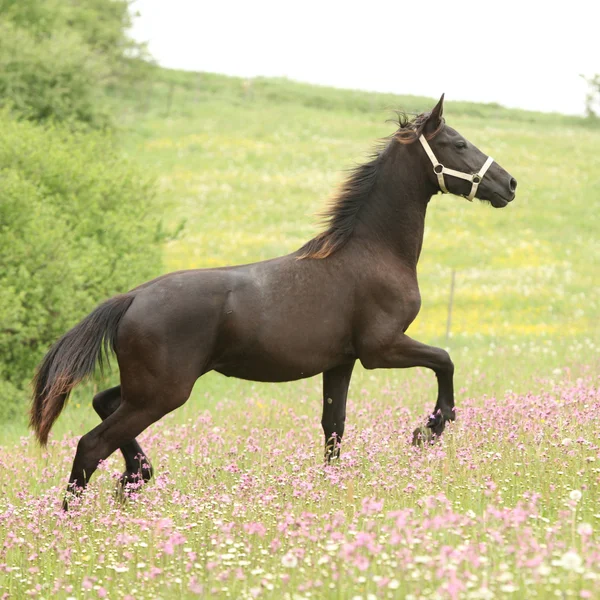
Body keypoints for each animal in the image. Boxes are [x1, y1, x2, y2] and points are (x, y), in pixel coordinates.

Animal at [29, 94, 516, 506]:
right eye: (458, 143)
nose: (509, 183)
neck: (372, 252)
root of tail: (131, 298)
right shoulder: (381, 349)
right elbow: (445, 361)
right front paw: (428, 430)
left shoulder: (342, 362)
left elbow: (334, 428)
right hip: (162, 393)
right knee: (91, 444)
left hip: (145, 389)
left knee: (102, 406)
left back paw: (136, 475)